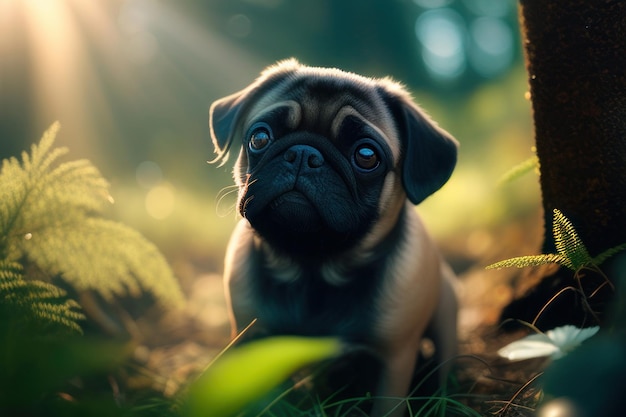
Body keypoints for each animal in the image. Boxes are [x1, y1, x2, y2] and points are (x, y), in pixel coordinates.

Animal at [207, 59, 456, 416]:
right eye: (260, 137)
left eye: (366, 155)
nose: (303, 153)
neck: (313, 265)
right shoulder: (252, 343)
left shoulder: (394, 362)